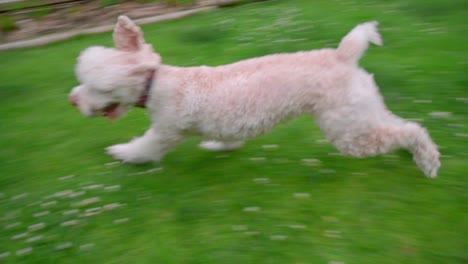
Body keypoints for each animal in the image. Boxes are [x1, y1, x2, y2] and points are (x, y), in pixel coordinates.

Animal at [67, 16, 440, 177]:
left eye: (96, 87)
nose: (72, 100)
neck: (157, 83)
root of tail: (343, 55)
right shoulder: (226, 125)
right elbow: (228, 141)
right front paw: (216, 147)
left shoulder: (165, 131)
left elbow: (145, 148)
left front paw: (121, 153)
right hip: (361, 110)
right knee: (400, 125)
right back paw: (415, 155)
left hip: (347, 130)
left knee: (407, 130)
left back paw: (429, 163)